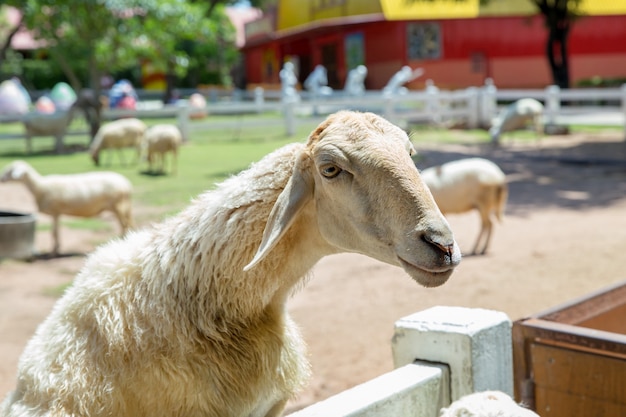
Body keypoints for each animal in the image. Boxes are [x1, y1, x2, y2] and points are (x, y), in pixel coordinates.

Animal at [0, 160, 133, 255]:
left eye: (10, 171)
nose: (1, 179)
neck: (40, 187)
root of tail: (126, 184)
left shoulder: (54, 211)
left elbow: (53, 233)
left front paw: (54, 252)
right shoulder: (57, 213)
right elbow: (56, 232)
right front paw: (57, 248)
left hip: (119, 205)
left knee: (124, 225)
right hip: (122, 207)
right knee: (127, 224)